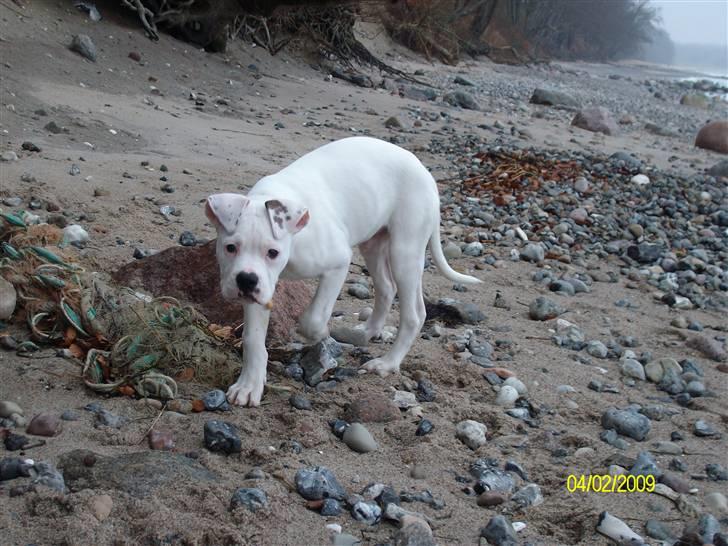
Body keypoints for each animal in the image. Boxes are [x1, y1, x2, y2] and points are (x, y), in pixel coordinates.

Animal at [206, 135, 478, 404]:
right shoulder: (261, 288)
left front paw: (322, 336)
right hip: (373, 244)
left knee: (414, 314)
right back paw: (366, 333)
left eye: (273, 253)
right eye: (230, 248)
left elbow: (313, 318)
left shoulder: (338, 263)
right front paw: (249, 384)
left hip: (405, 251)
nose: (246, 281)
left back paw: (387, 363)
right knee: (386, 288)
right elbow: (252, 338)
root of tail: (425, 172)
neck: (296, 235)